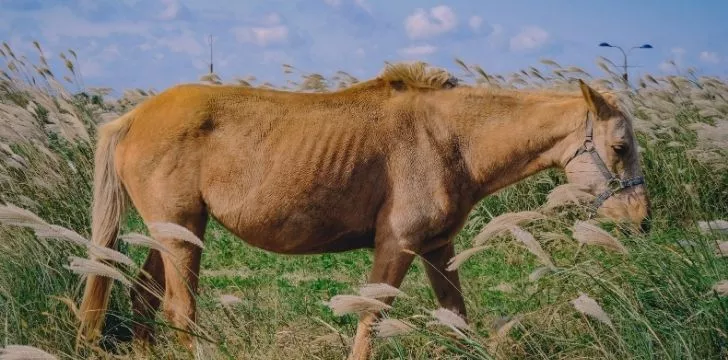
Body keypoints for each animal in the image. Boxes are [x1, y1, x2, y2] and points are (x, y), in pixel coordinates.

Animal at [77, 63, 652, 358]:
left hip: (174, 232)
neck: (451, 140)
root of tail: (132, 117)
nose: (642, 220)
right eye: (620, 147)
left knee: (143, 298)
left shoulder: (437, 248)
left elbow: (456, 319)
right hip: (179, 235)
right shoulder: (396, 247)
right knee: (180, 311)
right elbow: (371, 321)